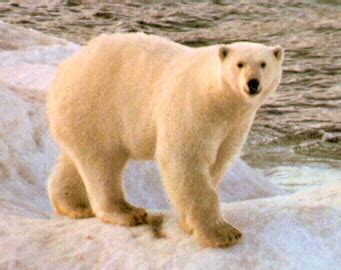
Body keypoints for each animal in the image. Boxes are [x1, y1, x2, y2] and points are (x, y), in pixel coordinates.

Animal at [46, 32, 282, 248]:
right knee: (103, 163)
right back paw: (128, 212)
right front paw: (222, 233)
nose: (253, 83)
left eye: (263, 64)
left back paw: (75, 205)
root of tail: (65, 69)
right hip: (97, 108)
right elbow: (185, 161)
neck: (220, 99)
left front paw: (190, 222)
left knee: (76, 159)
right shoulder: (194, 109)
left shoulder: (235, 125)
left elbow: (218, 162)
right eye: (239, 64)